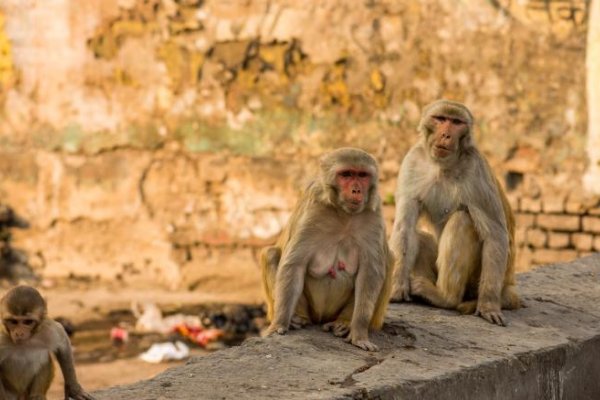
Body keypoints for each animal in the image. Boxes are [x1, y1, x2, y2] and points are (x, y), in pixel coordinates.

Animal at [258, 147, 394, 350]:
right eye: (346, 174)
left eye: (362, 175)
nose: (356, 190)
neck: (344, 214)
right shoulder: (313, 209)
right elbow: (294, 265)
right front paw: (279, 324)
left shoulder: (374, 213)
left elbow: (370, 272)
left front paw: (359, 334)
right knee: (271, 254)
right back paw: (298, 317)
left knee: (389, 259)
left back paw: (344, 322)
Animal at [390, 99, 520, 324]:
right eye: (440, 119)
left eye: (456, 122)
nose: (446, 135)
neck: (442, 166)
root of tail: (508, 285)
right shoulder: (412, 162)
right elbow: (404, 228)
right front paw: (397, 286)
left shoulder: (476, 170)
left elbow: (495, 235)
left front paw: (488, 305)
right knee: (419, 235)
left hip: (477, 281)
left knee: (462, 220)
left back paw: (445, 297)